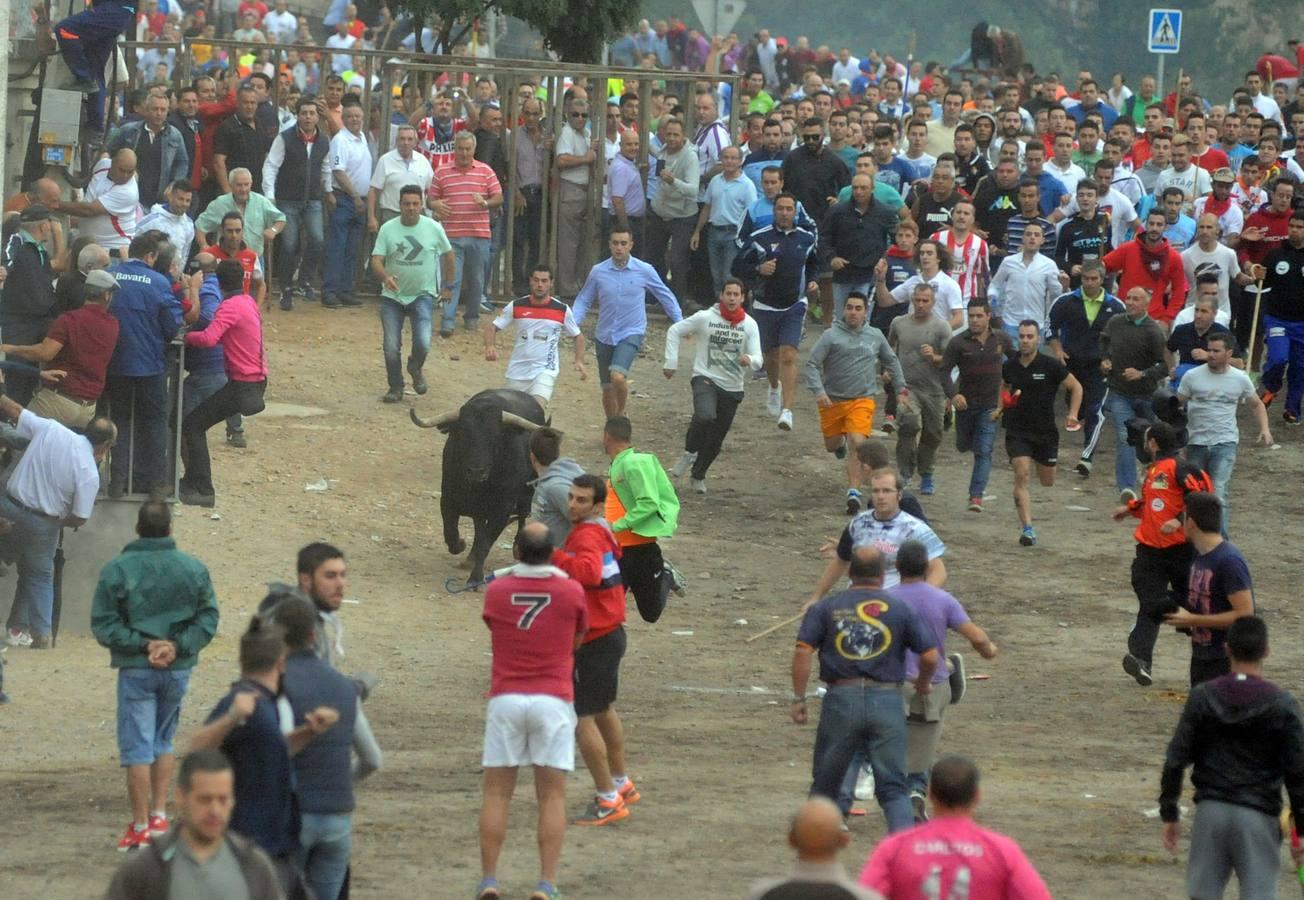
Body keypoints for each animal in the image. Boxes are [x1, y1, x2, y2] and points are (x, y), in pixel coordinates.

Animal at [409, 386, 547, 581]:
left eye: (496, 435)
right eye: (462, 433)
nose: (476, 471)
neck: (478, 487)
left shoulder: (501, 509)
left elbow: (486, 541)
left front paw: (475, 577)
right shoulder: (448, 500)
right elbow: (451, 532)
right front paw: (461, 545)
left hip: (526, 494)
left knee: (521, 516)